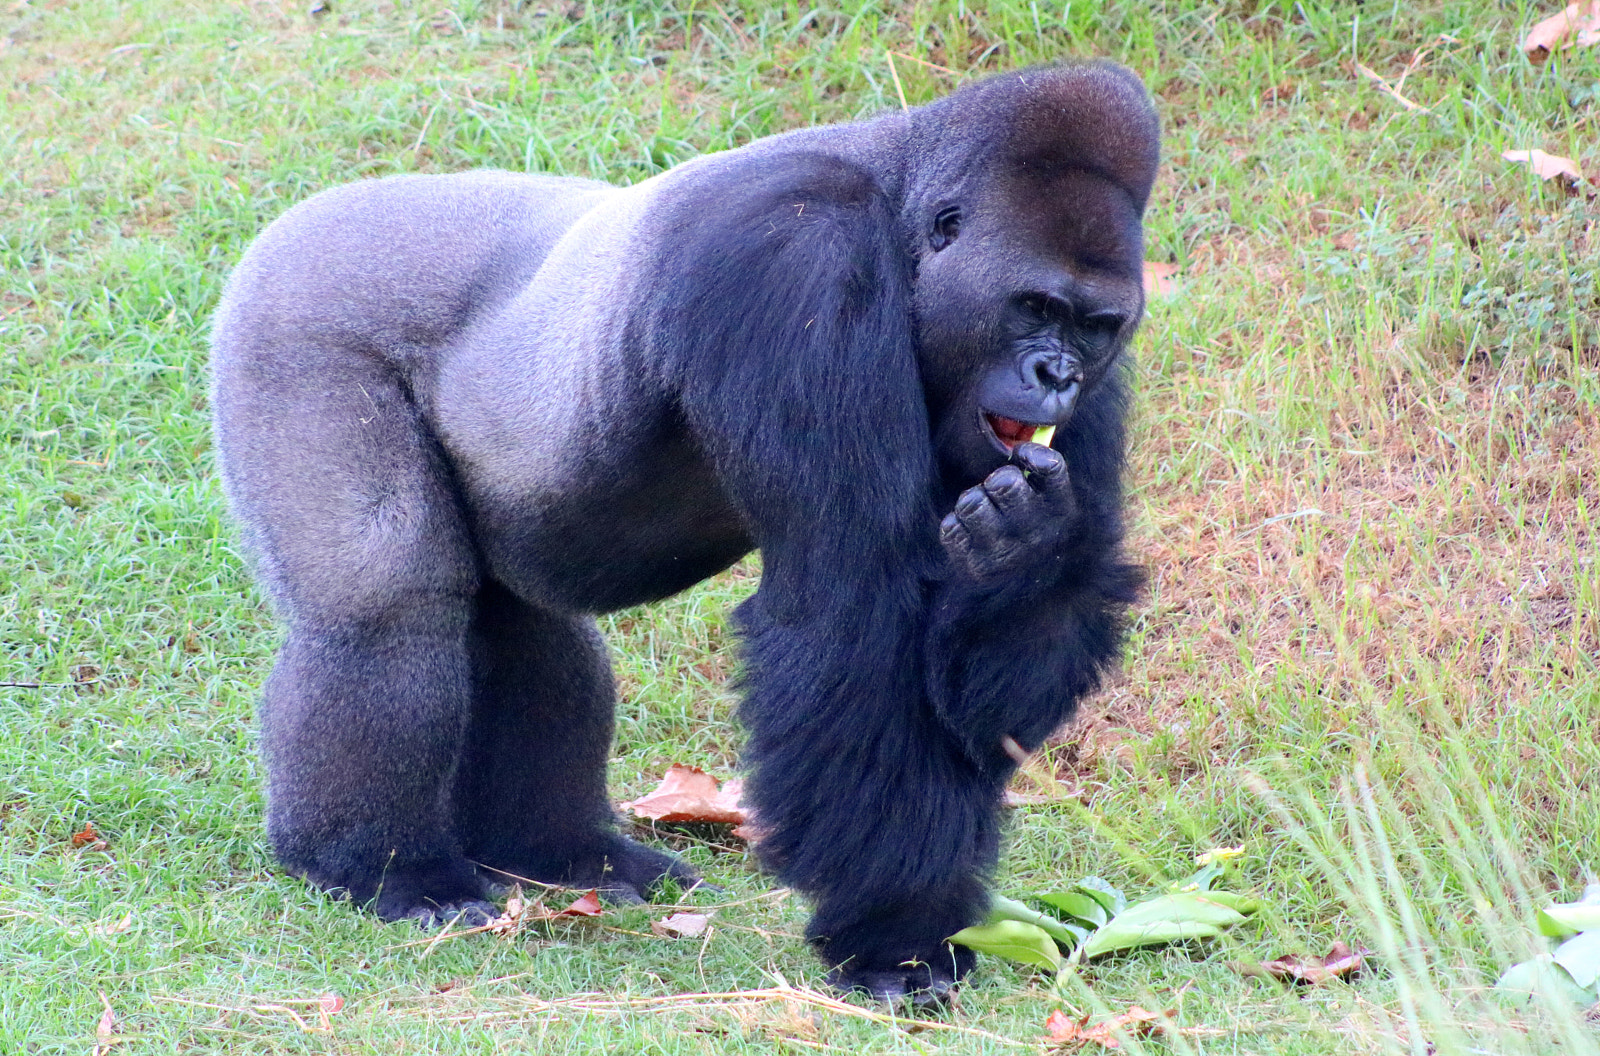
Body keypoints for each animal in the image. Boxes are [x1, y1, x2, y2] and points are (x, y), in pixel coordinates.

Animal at [210, 60, 1158, 1003]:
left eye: (1092, 325)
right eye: (1032, 306)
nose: (1056, 374)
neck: (897, 203)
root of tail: (315, 210)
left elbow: (978, 691)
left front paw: (1030, 556)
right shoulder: (800, 260)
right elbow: (850, 606)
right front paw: (900, 941)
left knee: (524, 623)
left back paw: (558, 850)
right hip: (298, 317)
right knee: (389, 603)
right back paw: (381, 867)